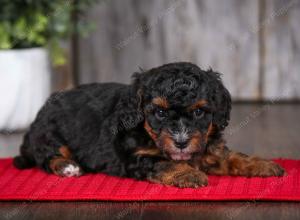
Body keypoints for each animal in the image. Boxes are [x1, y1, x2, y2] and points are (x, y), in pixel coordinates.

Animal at [14, 62, 286, 188]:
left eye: (199, 112)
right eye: (160, 113)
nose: (181, 141)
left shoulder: (208, 148)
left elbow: (232, 157)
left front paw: (262, 164)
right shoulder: (137, 157)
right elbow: (163, 162)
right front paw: (188, 173)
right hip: (49, 133)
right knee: (47, 157)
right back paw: (67, 166)